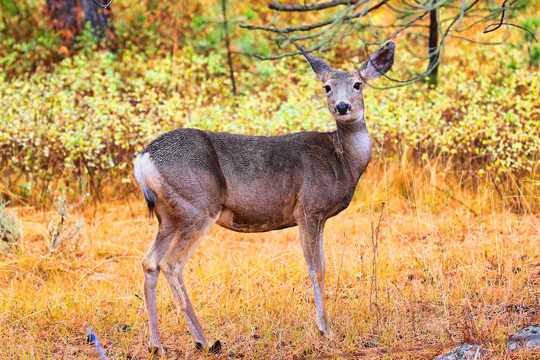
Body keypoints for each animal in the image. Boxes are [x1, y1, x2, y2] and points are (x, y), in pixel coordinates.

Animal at [134, 40, 396, 352]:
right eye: (327, 87)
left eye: (358, 84)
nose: (342, 107)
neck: (342, 160)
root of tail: (143, 160)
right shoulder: (309, 207)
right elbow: (316, 269)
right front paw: (325, 329)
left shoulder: (317, 215)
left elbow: (322, 267)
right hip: (198, 205)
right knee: (171, 264)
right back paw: (203, 340)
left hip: (169, 215)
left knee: (149, 262)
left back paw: (155, 344)